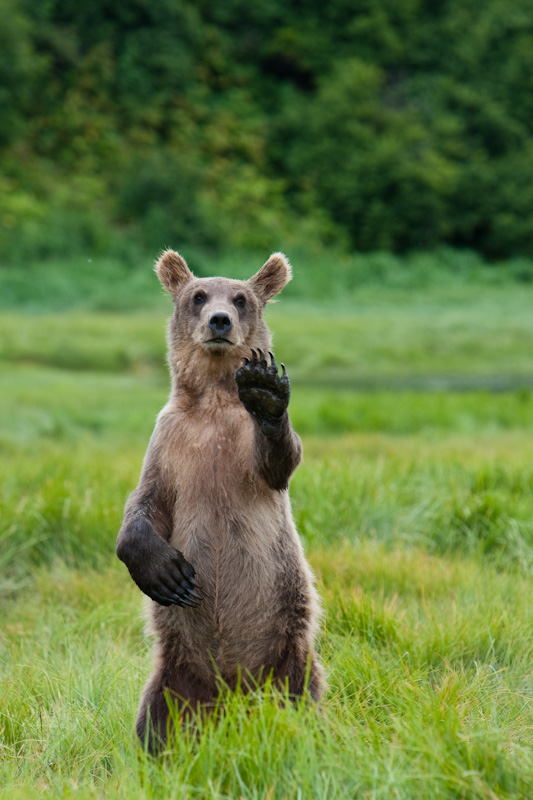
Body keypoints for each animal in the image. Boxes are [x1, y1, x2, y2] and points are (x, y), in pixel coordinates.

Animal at [116, 250, 322, 752]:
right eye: (198, 295)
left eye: (242, 298)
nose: (220, 320)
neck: (212, 399)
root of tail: (231, 697)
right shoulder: (171, 444)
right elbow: (144, 504)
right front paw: (169, 574)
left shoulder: (243, 449)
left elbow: (280, 460)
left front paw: (266, 389)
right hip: (175, 673)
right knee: (157, 713)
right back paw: (158, 749)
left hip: (288, 645)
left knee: (300, 693)